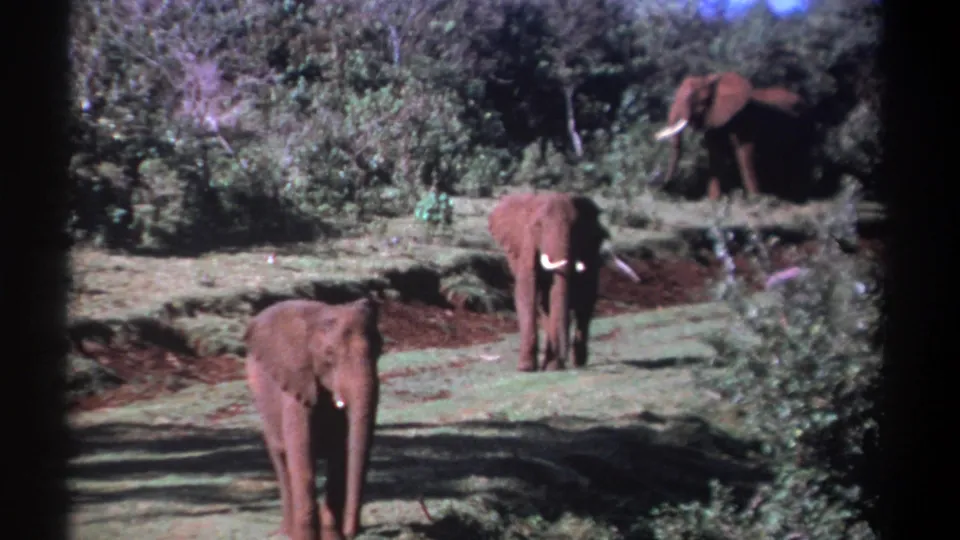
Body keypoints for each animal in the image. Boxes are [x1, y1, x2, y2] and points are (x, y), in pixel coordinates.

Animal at [245, 297, 383, 540]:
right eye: (329, 354)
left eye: (380, 350)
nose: (352, 532)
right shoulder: (295, 381)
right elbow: (301, 451)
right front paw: (307, 537)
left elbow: (340, 453)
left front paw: (333, 535)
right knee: (281, 459)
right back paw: (286, 532)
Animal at [488, 191, 640, 372]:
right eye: (538, 226)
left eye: (576, 229)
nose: (562, 357)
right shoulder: (527, 247)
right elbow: (526, 293)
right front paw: (526, 368)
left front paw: (551, 366)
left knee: (584, 304)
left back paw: (576, 361)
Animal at [654, 71, 814, 202]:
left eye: (695, 99)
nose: (662, 186)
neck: (714, 81)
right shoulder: (715, 117)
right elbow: (715, 153)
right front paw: (713, 201)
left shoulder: (744, 117)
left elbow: (743, 151)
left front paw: (756, 200)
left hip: (805, 124)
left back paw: (799, 198)